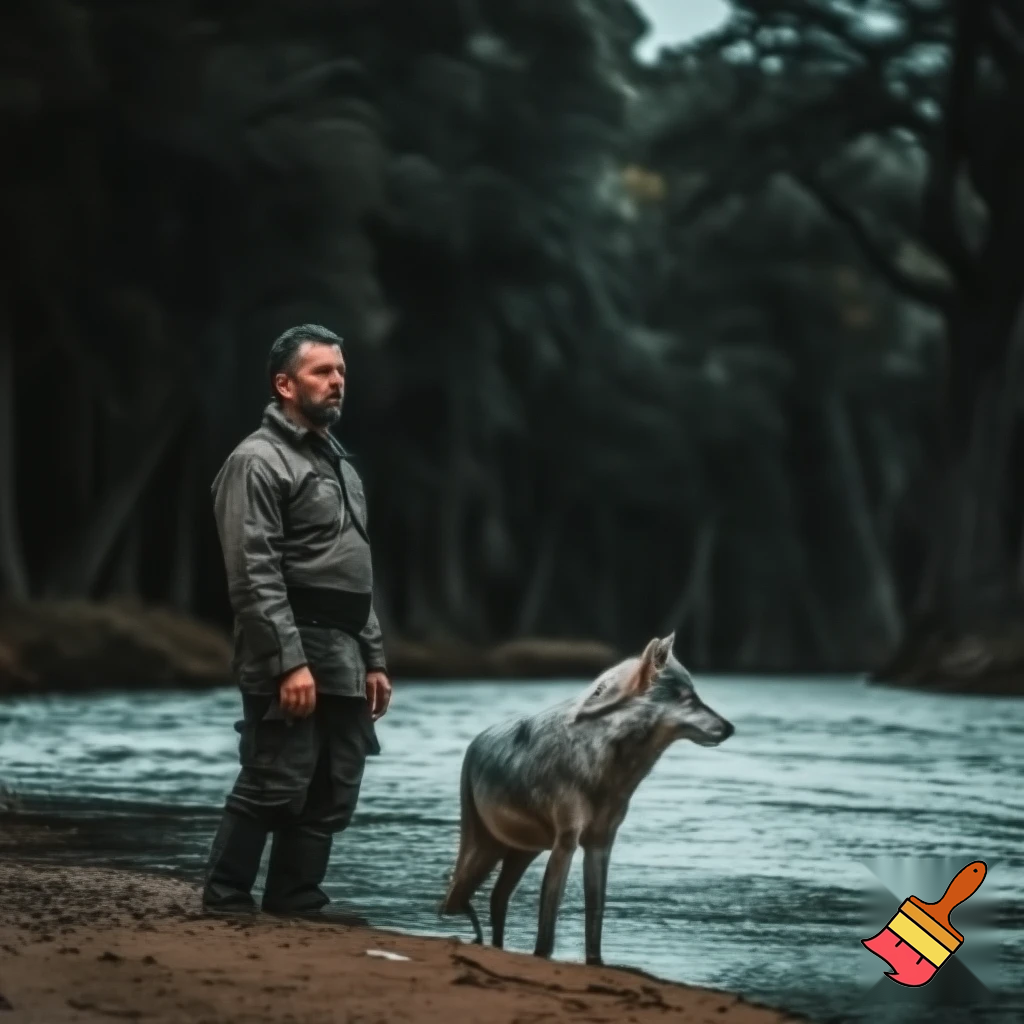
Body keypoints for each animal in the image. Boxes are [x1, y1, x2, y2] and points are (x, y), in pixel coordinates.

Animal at [437, 632, 735, 965]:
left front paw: (595, 961)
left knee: (496, 897)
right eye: (688, 698)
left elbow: (595, 911)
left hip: (523, 852)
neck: (608, 765)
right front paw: (543, 954)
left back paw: (495, 946)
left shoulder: (601, 844)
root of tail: (475, 742)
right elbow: (550, 910)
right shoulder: (566, 841)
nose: (731, 728)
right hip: (483, 852)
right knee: (456, 898)